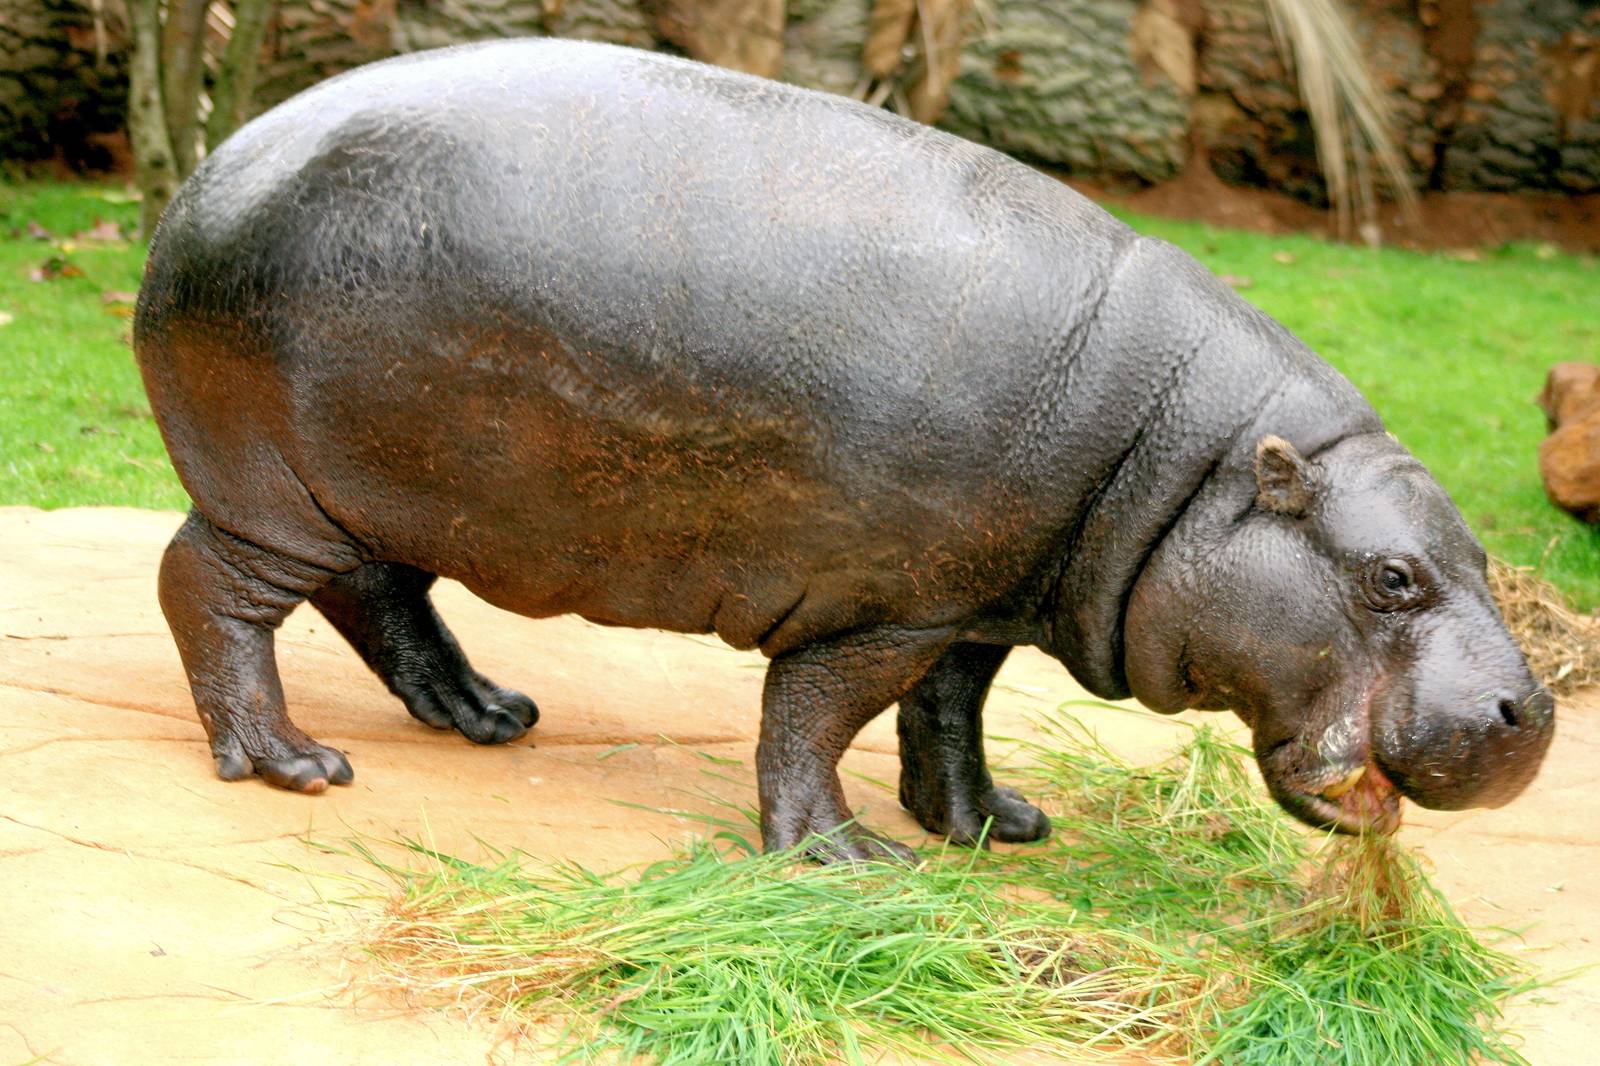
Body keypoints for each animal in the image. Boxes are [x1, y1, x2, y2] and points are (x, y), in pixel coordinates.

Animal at [135, 38, 1554, 861]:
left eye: (1483, 557)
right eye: (1390, 578)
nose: (1532, 709)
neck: (1186, 464)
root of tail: (207, 170)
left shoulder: (984, 596)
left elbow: (949, 714)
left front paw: (993, 829)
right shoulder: (886, 605)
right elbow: (815, 719)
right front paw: (846, 859)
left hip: (381, 490)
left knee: (375, 596)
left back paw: (491, 715)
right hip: (273, 492)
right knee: (209, 590)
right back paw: (294, 769)